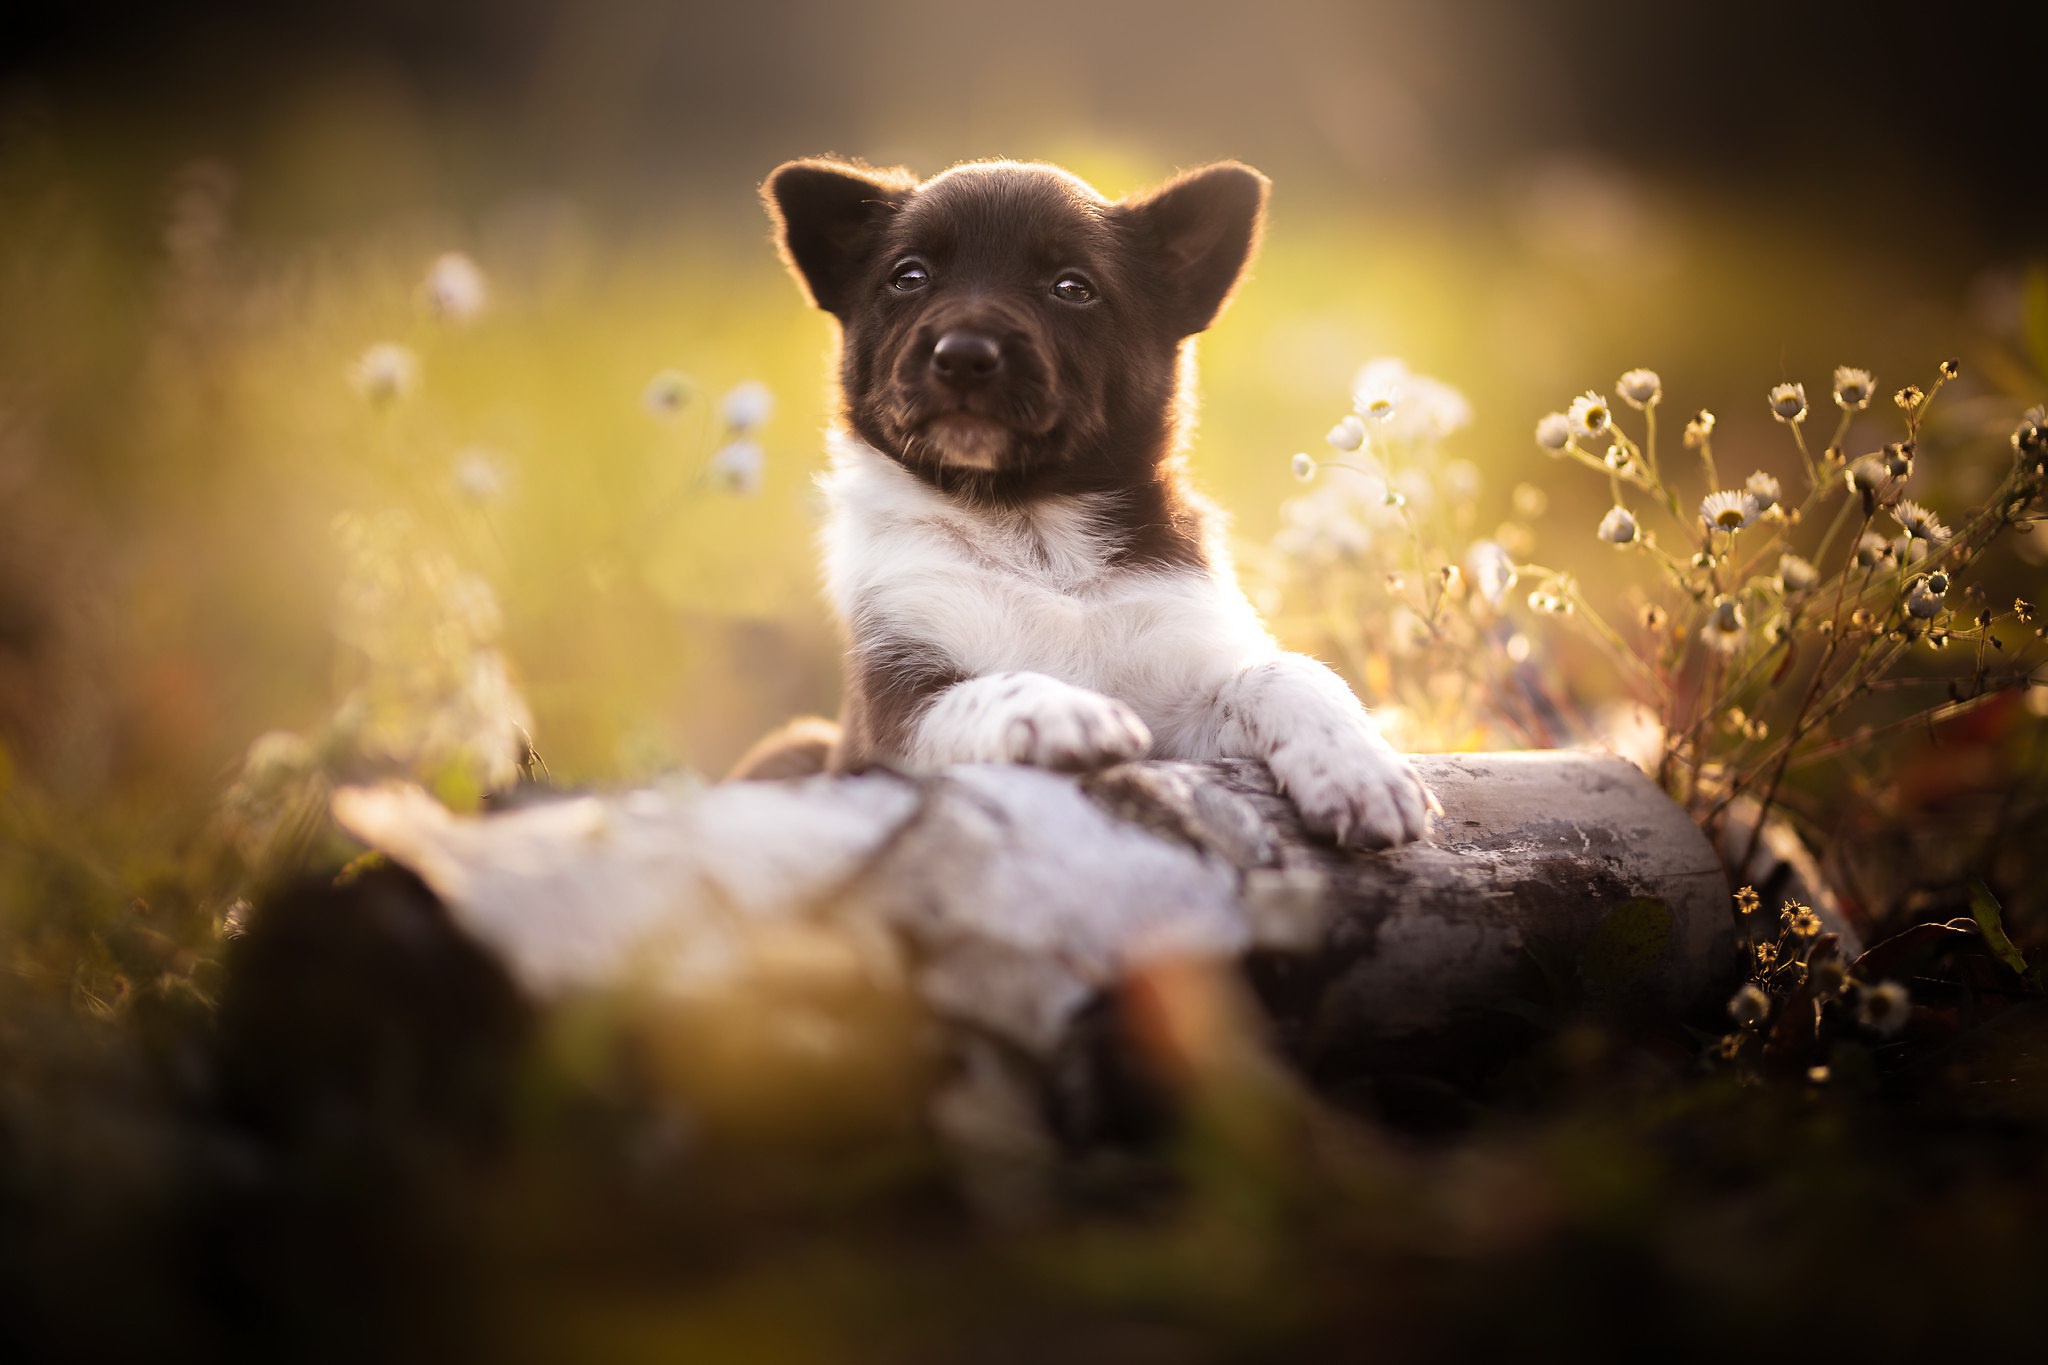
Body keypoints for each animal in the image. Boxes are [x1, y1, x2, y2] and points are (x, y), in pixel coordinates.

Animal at [753, 154, 1441, 847]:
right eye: (909, 277)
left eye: (1072, 287)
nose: (964, 355)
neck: (1032, 528)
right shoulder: (892, 713)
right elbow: (986, 690)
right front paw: (1061, 709)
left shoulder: (1182, 715)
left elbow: (1288, 672)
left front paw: (1357, 768)